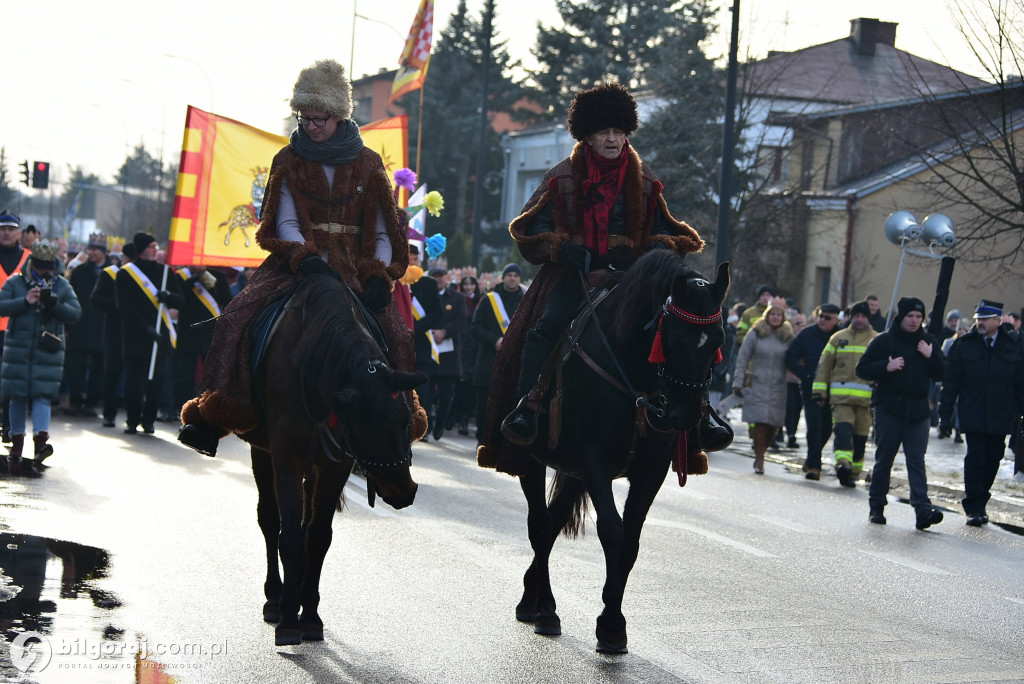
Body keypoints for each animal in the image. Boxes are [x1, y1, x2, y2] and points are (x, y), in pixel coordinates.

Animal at [238, 270, 423, 647]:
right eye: (365, 427)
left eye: (405, 419)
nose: (404, 491)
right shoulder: (286, 455)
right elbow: (290, 535)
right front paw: (287, 620)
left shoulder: (336, 463)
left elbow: (318, 536)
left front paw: (309, 615)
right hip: (261, 452)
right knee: (270, 520)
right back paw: (275, 598)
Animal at [512, 249, 729, 651]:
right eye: (673, 337)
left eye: (719, 338)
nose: (686, 415)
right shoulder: (594, 459)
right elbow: (612, 531)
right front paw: (610, 623)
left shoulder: (650, 470)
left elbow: (630, 540)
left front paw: (613, 620)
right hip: (531, 459)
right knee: (540, 524)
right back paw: (545, 609)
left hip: (573, 473)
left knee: (552, 524)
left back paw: (533, 597)